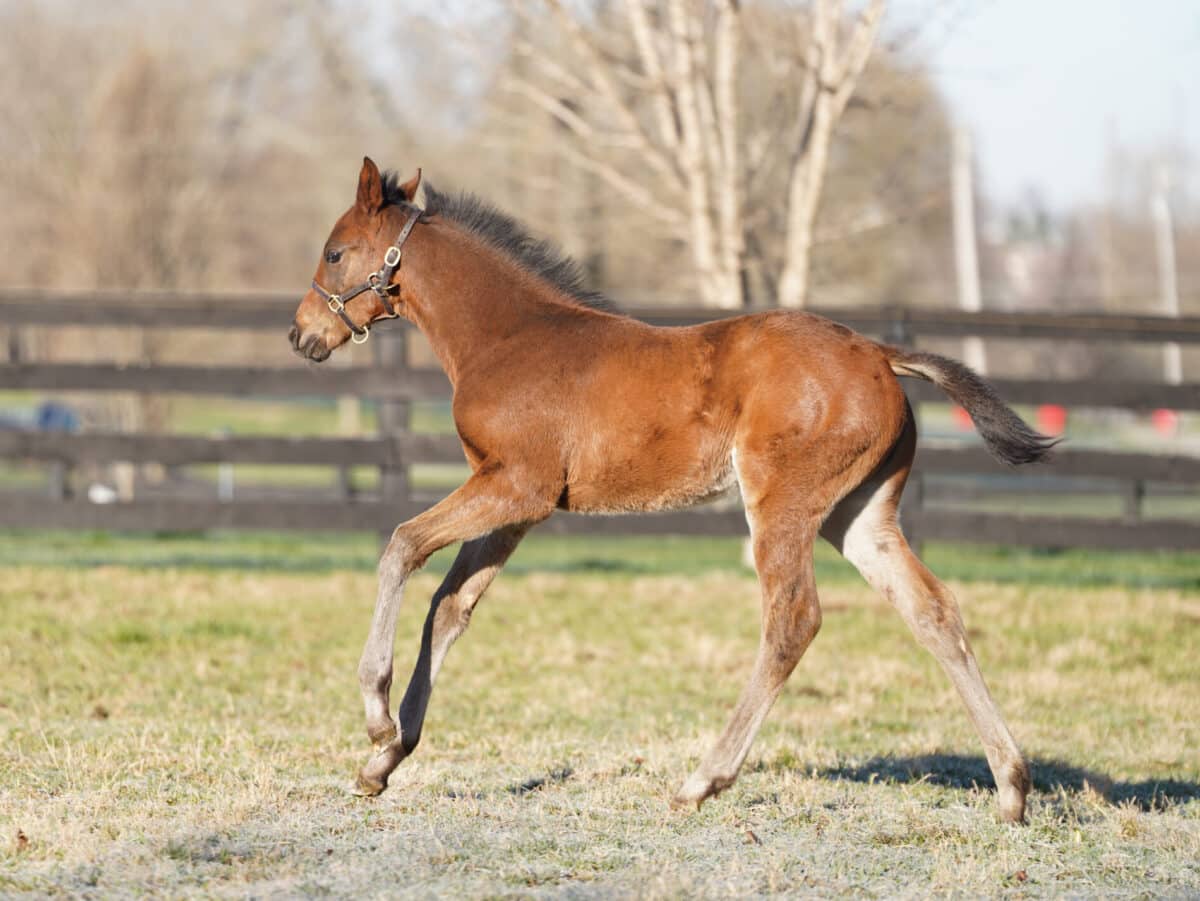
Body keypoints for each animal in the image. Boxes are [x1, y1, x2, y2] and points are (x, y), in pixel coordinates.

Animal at [288, 158, 1051, 820]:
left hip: (782, 503)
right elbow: (450, 606)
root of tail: (880, 354)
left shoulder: (516, 486)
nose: (302, 335)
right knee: (932, 610)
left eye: (334, 253)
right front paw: (384, 761)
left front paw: (376, 715)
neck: (508, 336)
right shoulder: (514, 504)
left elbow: (401, 546)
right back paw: (1011, 787)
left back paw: (702, 780)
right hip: (859, 515)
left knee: (793, 619)